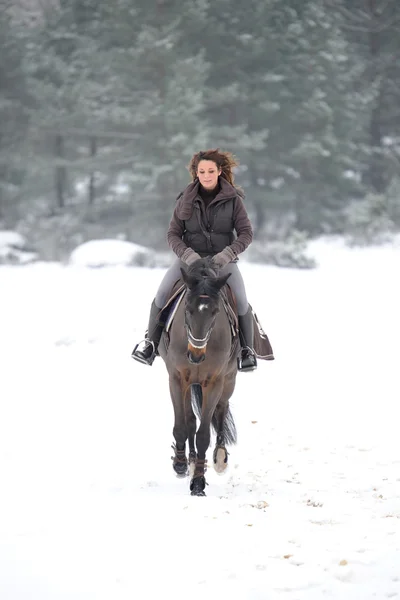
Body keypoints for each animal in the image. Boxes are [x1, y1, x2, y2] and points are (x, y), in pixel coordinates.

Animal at [156, 258, 239, 496]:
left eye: (215, 312)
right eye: (187, 309)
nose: (195, 355)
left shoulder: (214, 382)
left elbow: (203, 434)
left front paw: (199, 483)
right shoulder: (176, 379)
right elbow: (182, 426)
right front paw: (181, 464)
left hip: (229, 380)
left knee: (221, 410)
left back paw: (219, 458)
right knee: (190, 420)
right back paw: (189, 462)